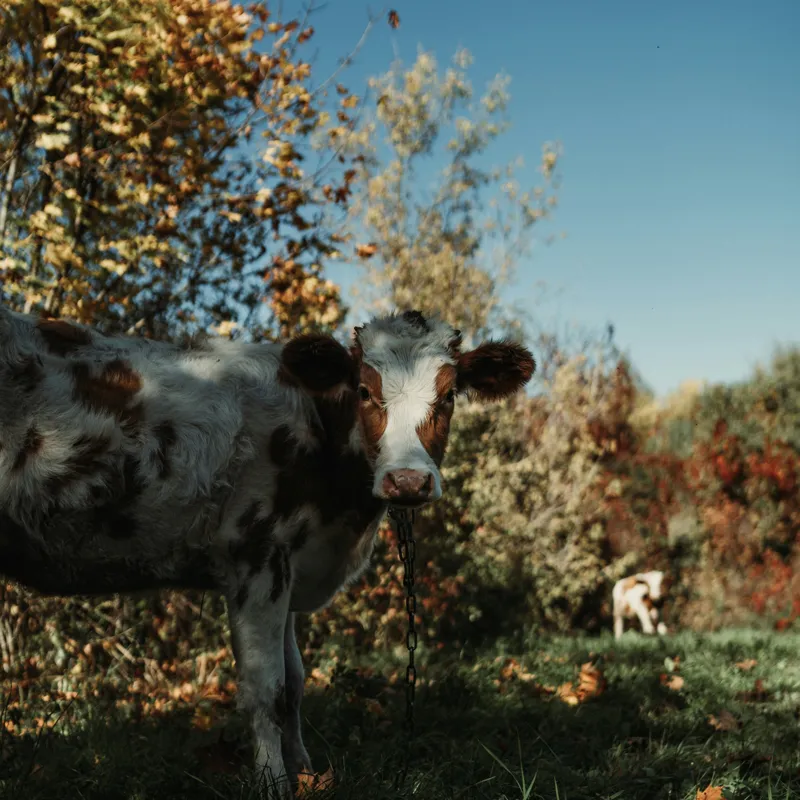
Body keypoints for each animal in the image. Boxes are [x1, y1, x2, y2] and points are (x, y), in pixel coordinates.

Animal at [0, 306, 535, 797]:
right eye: (364, 392)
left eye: (449, 396)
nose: (407, 480)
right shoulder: (256, 556)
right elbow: (267, 687)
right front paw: (273, 780)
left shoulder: (291, 569)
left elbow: (295, 683)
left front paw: (306, 772)